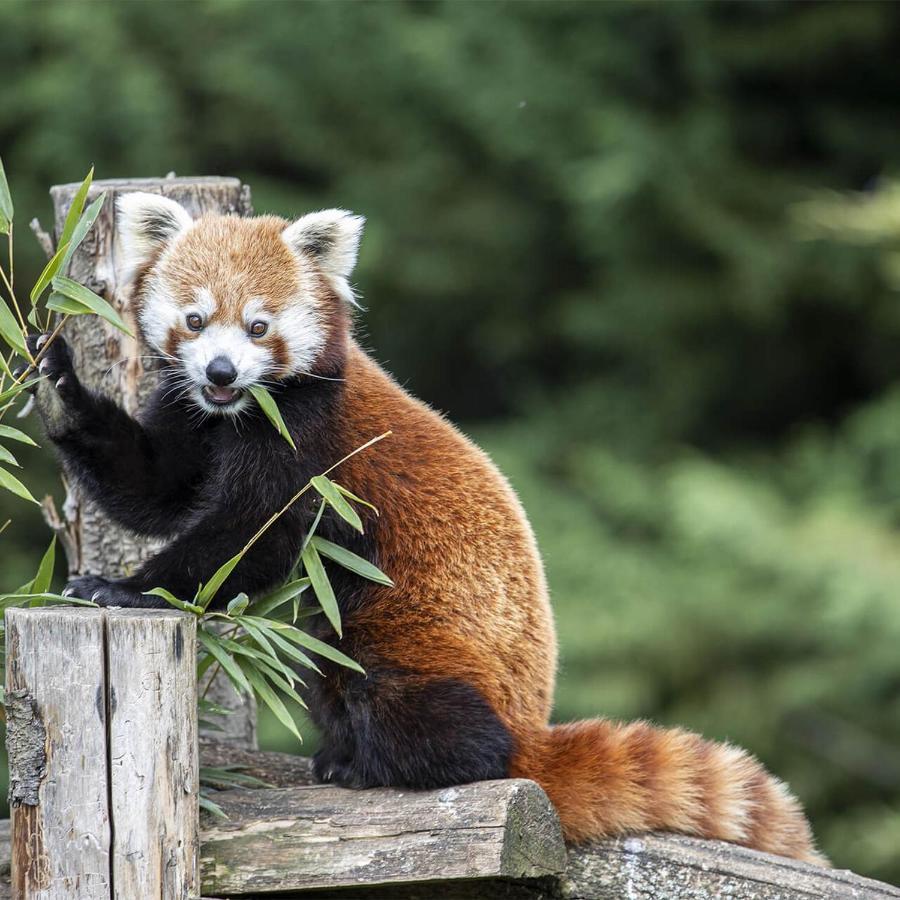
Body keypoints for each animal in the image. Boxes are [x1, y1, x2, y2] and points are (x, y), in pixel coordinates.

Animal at [29, 195, 824, 864]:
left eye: (259, 326)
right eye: (194, 321)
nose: (223, 371)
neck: (239, 416)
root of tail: (531, 724)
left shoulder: (311, 449)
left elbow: (247, 540)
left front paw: (127, 589)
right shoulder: (192, 417)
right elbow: (155, 492)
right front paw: (60, 388)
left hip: (417, 639)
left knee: (421, 710)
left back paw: (380, 764)